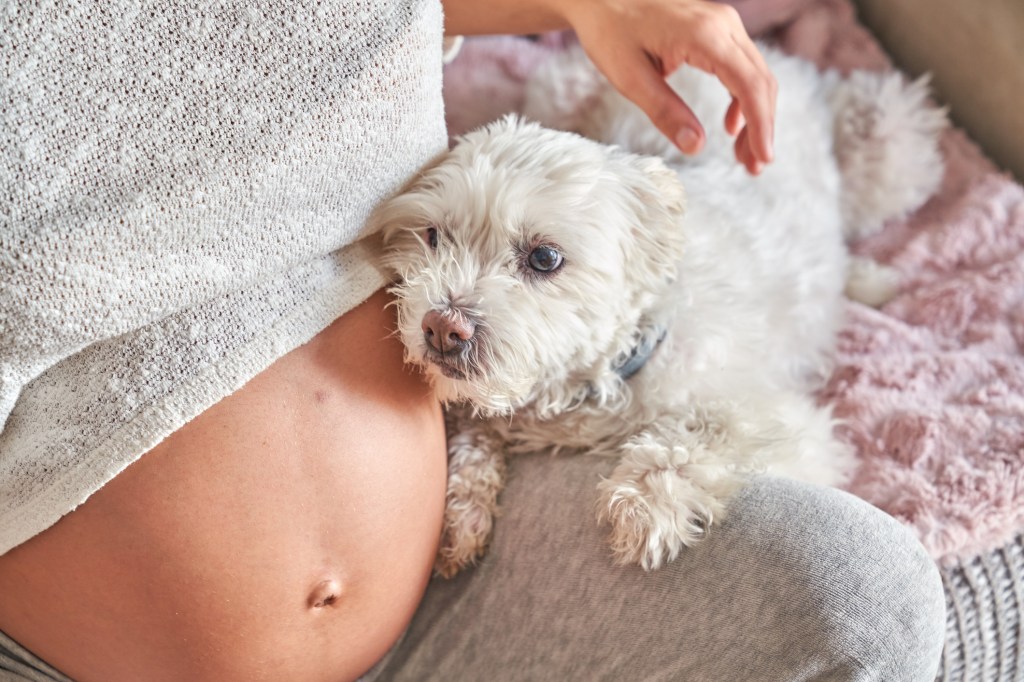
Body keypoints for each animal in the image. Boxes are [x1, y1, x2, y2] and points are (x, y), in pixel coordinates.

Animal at [372, 43, 946, 573]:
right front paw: (461, 512)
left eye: (544, 257)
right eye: (432, 236)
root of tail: (783, 61)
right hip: (559, 86)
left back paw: (867, 278)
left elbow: (707, 434)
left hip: (889, 140)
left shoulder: (785, 422)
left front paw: (645, 501)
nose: (442, 327)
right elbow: (474, 430)